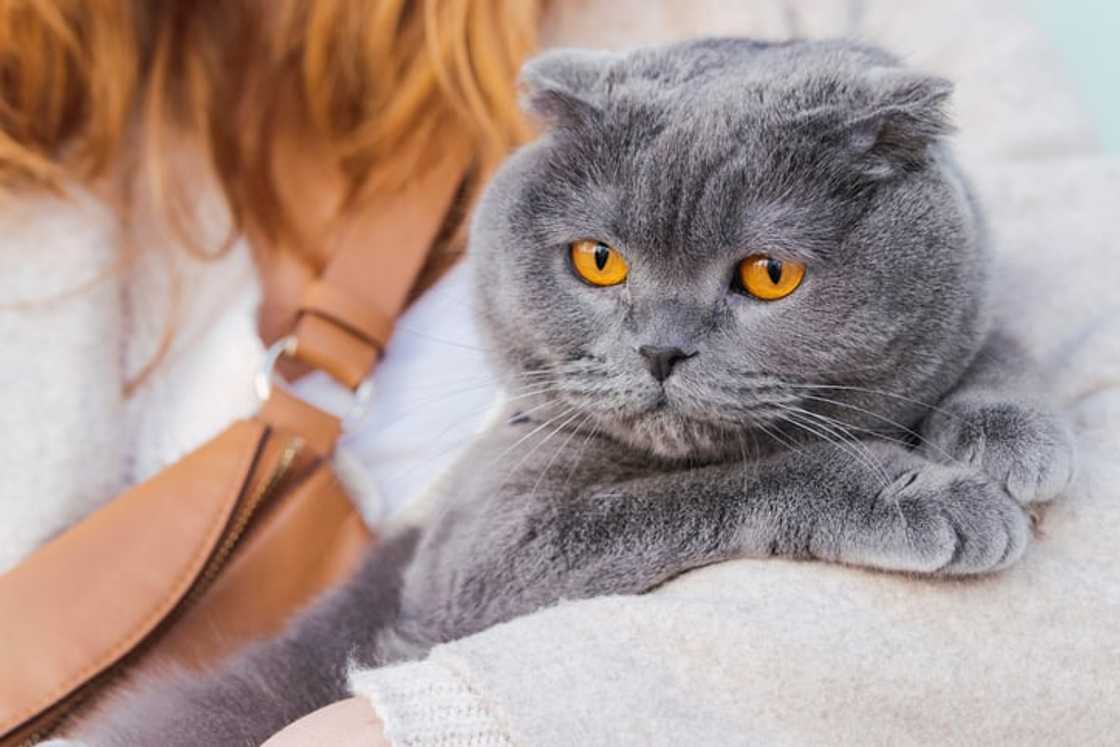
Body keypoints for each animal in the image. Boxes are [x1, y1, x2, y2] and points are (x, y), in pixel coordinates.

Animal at [82, 38, 1070, 743]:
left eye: (770, 274)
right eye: (599, 259)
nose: (661, 349)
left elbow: (992, 330)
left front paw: (1009, 427)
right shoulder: (478, 548)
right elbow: (711, 489)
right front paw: (922, 492)